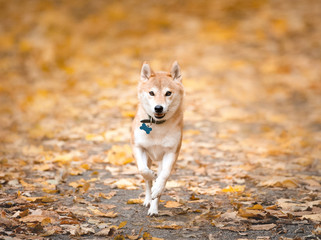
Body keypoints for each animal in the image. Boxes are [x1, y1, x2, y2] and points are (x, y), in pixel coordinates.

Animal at [130, 61, 184, 216]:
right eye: (151, 93)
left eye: (168, 93)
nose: (158, 108)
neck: (157, 127)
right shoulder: (138, 147)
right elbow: (144, 171)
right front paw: (152, 176)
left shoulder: (171, 152)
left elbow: (164, 176)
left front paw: (158, 187)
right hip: (148, 158)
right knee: (147, 183)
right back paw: (149, 199)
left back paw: (154, 207)